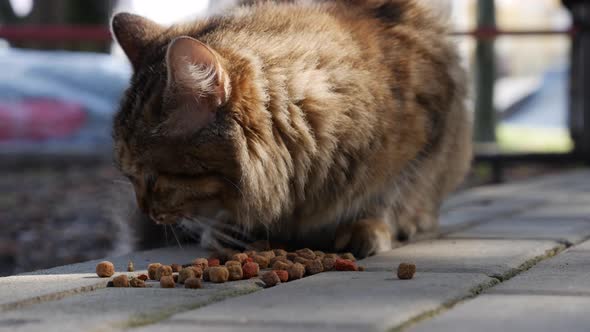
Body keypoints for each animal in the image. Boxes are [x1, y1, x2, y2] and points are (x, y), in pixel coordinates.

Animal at [110, 0, 472, 258]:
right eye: (129, 177)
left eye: (154, 179)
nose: (146, 210)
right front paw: (227, 228)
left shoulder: (427, 137)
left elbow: (391, 193)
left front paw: (368, 225)